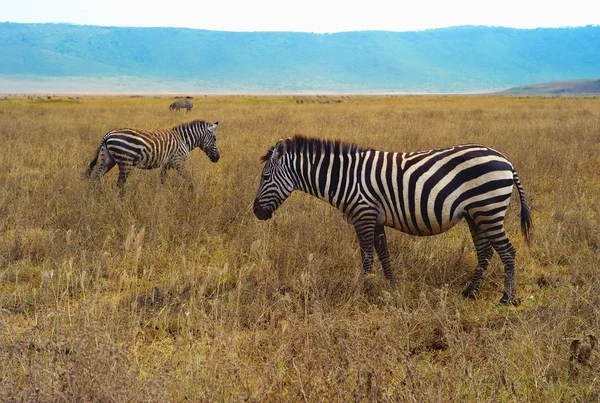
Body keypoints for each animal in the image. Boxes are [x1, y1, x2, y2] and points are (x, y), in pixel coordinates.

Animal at [86, 120, 220, 190]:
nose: (217, 158)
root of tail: (108, 134)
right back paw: (120, 202)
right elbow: (189, 177)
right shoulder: (177, 162)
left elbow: (163, 180)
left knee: (96, 176)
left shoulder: (167, 164)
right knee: (119, 184)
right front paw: (194, 191)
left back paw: (94, 196)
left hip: (108, 159)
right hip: (125, 161)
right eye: (215, 139)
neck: (184, 140)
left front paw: (162, 195)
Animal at [251, 134, 532, 304]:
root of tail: (506, 160)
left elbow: (366, 256)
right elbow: (383, 254)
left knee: (507, 251)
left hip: (488, 209)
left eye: (265, 177)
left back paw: (506, 299)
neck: (343, 178)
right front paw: (391, 287)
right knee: (485, 252)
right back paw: (469, 292)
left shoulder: (363, 214)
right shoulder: (375, 219)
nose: (256, 212)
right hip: (476, 214)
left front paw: (364, 291)